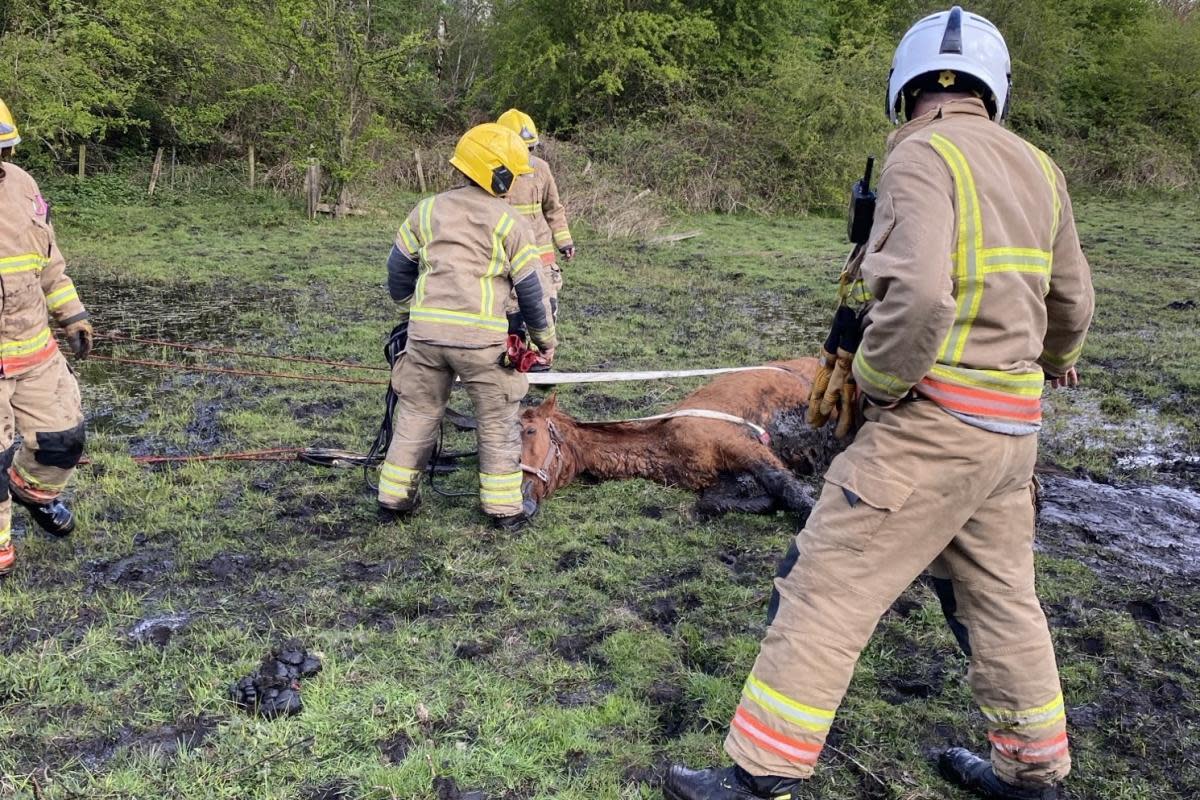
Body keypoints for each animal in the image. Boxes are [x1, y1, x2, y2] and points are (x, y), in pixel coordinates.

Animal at [518, 357, 844, 520]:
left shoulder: (742, 444)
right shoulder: (719, 478)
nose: (520, 506)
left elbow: (787, 487)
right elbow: (712, 503)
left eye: (530, 431)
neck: (666, 442)